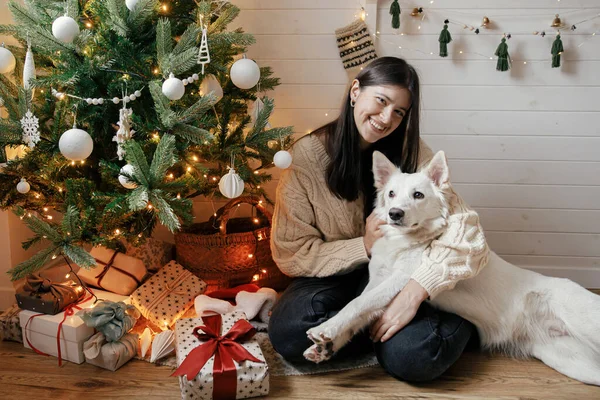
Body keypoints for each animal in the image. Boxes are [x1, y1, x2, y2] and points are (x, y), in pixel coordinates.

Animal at [304, 151, 600, 388]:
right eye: (391, 194)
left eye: (418, 195)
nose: (395, 213)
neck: (405, 241)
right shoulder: (380, 282)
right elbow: (360, 309)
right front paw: (327, 346)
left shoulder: (401, 281)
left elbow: (356, 304)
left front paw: (326, 330)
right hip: (569, 359)